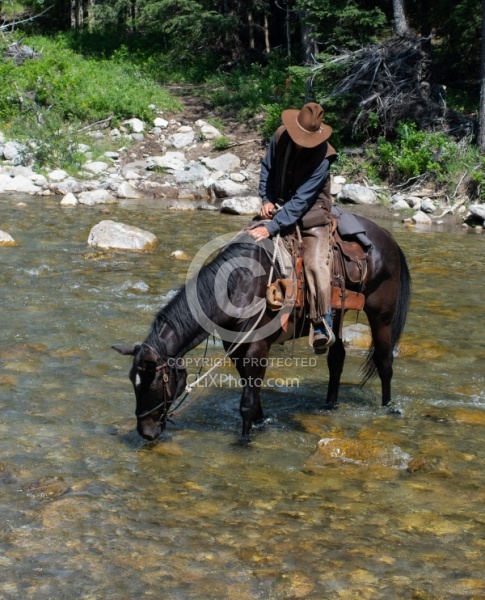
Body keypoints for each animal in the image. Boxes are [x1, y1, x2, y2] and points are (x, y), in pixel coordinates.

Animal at [113, 216, 408, 440]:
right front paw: (260, 423)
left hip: (381, 315)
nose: (145, 433)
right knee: (337, 357)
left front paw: (244, 440)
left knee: (384, 362)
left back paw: (388, 408)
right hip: (336, 314)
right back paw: (329, 405)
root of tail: (389, 239)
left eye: (153, 382)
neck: (239, 286)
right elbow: (252, 394)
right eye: (132, 380)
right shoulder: (235, 348)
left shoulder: (257, 348)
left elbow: (247, 402)